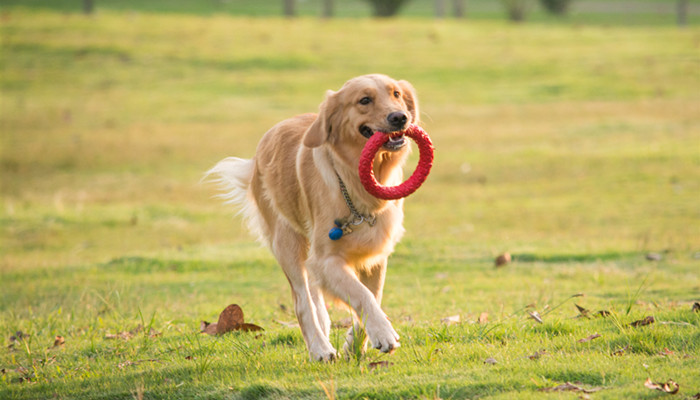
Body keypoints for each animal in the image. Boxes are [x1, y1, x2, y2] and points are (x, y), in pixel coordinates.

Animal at [205, 74, 418, 360]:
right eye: (364, 100)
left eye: (396, 94)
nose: (400, 117)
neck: (354, 182)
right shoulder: (326, 259)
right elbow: (361, 295)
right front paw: (383, 333)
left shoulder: (374, 256)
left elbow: (373, 295)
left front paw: (355, 344)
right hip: (287, 243)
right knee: (302, 302)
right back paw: (319, 348)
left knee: (316, 299)